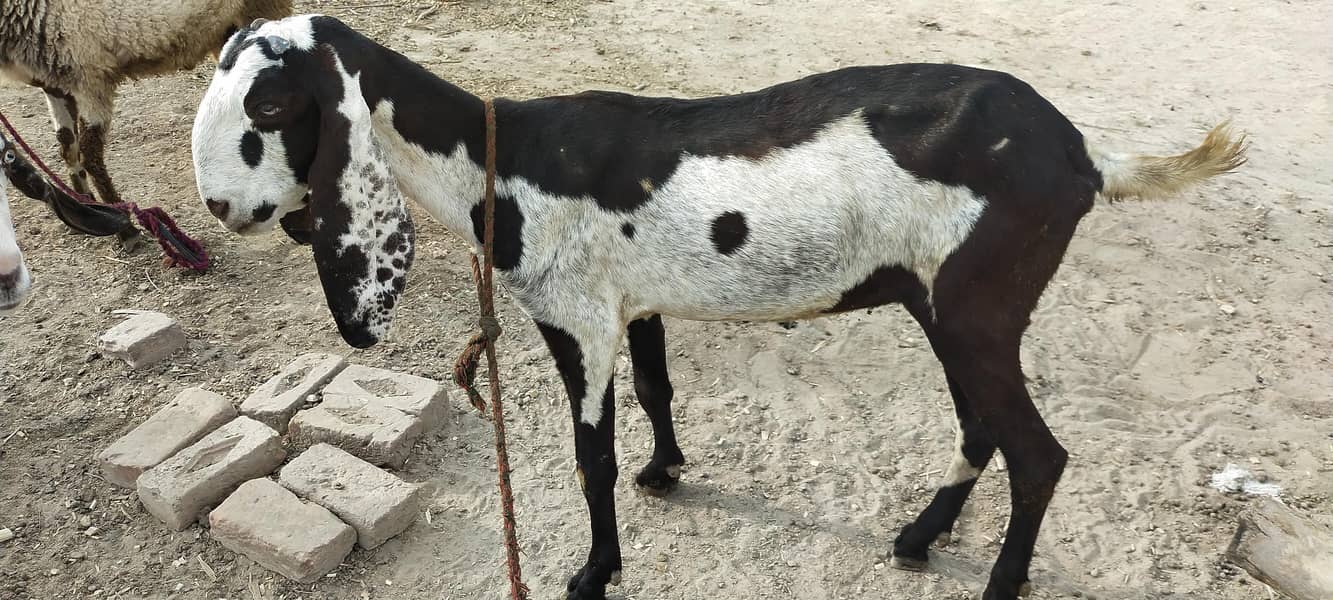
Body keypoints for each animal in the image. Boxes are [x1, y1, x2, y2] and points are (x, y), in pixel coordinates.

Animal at [0, 0, 291, 247]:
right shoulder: (56, 84)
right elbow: (67, 146)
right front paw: (84, 207)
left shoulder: (89, 79)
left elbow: (90, 155)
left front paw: (124, 228)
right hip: (225, 29)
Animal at [191, 16, 1246, 600]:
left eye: (272, 106)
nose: (221, 208)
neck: (500, 160)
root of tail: (1081, 156)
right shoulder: (634, 303)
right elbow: (657, 392)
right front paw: (667, 472)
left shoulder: (575, 316)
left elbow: (589, 454)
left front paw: (592, 573)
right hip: (949, 309)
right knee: (983, 427)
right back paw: (916, 538)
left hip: (978, 303)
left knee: (1038, 453)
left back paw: (993, 581)